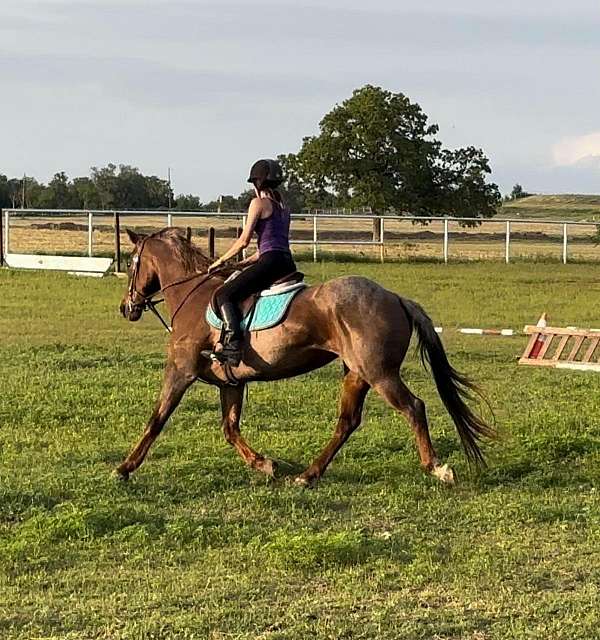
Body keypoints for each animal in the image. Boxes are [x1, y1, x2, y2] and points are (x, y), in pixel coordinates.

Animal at [117, 229, 492, 484]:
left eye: (132, 263)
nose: (126, 307)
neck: (193, 296)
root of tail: (396, 297)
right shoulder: (232, 383)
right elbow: (230, 428)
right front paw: (264, 464)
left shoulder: (180, 371)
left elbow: (157, 419)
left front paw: (124, 467)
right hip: (355, 373)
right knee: (347, 421)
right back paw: (309, 474)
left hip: (380, 373)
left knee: (413, 407)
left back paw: (436, 468)